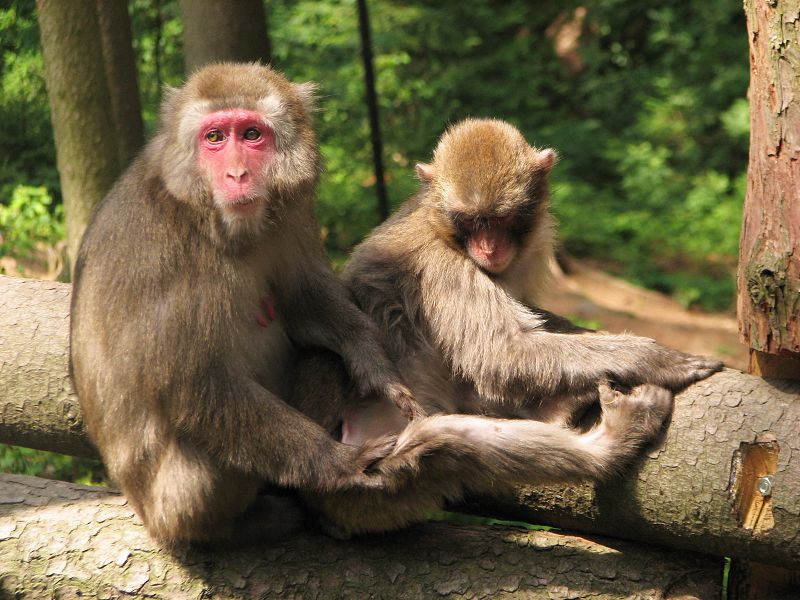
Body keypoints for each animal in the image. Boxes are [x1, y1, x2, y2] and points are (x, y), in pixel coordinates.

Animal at [69, 63, 424, 546]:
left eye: (252, 134)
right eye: (215, 138)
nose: (236, 175)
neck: (210, 220)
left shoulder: (291, 217)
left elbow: (303, 301)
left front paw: (374, 365)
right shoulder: (157, 255)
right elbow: (188, 382)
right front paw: (336, 462)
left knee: (325, 355)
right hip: (176, 503)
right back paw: (235, 526)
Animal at [291, 118, 723, 537]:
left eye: (501, 218)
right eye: (469, 220)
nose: (489, 249)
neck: (443, 230)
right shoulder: (441, 267)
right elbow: (503, 353)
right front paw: (656, 358)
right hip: (369, 483)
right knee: (447, 439)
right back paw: (609, 446)